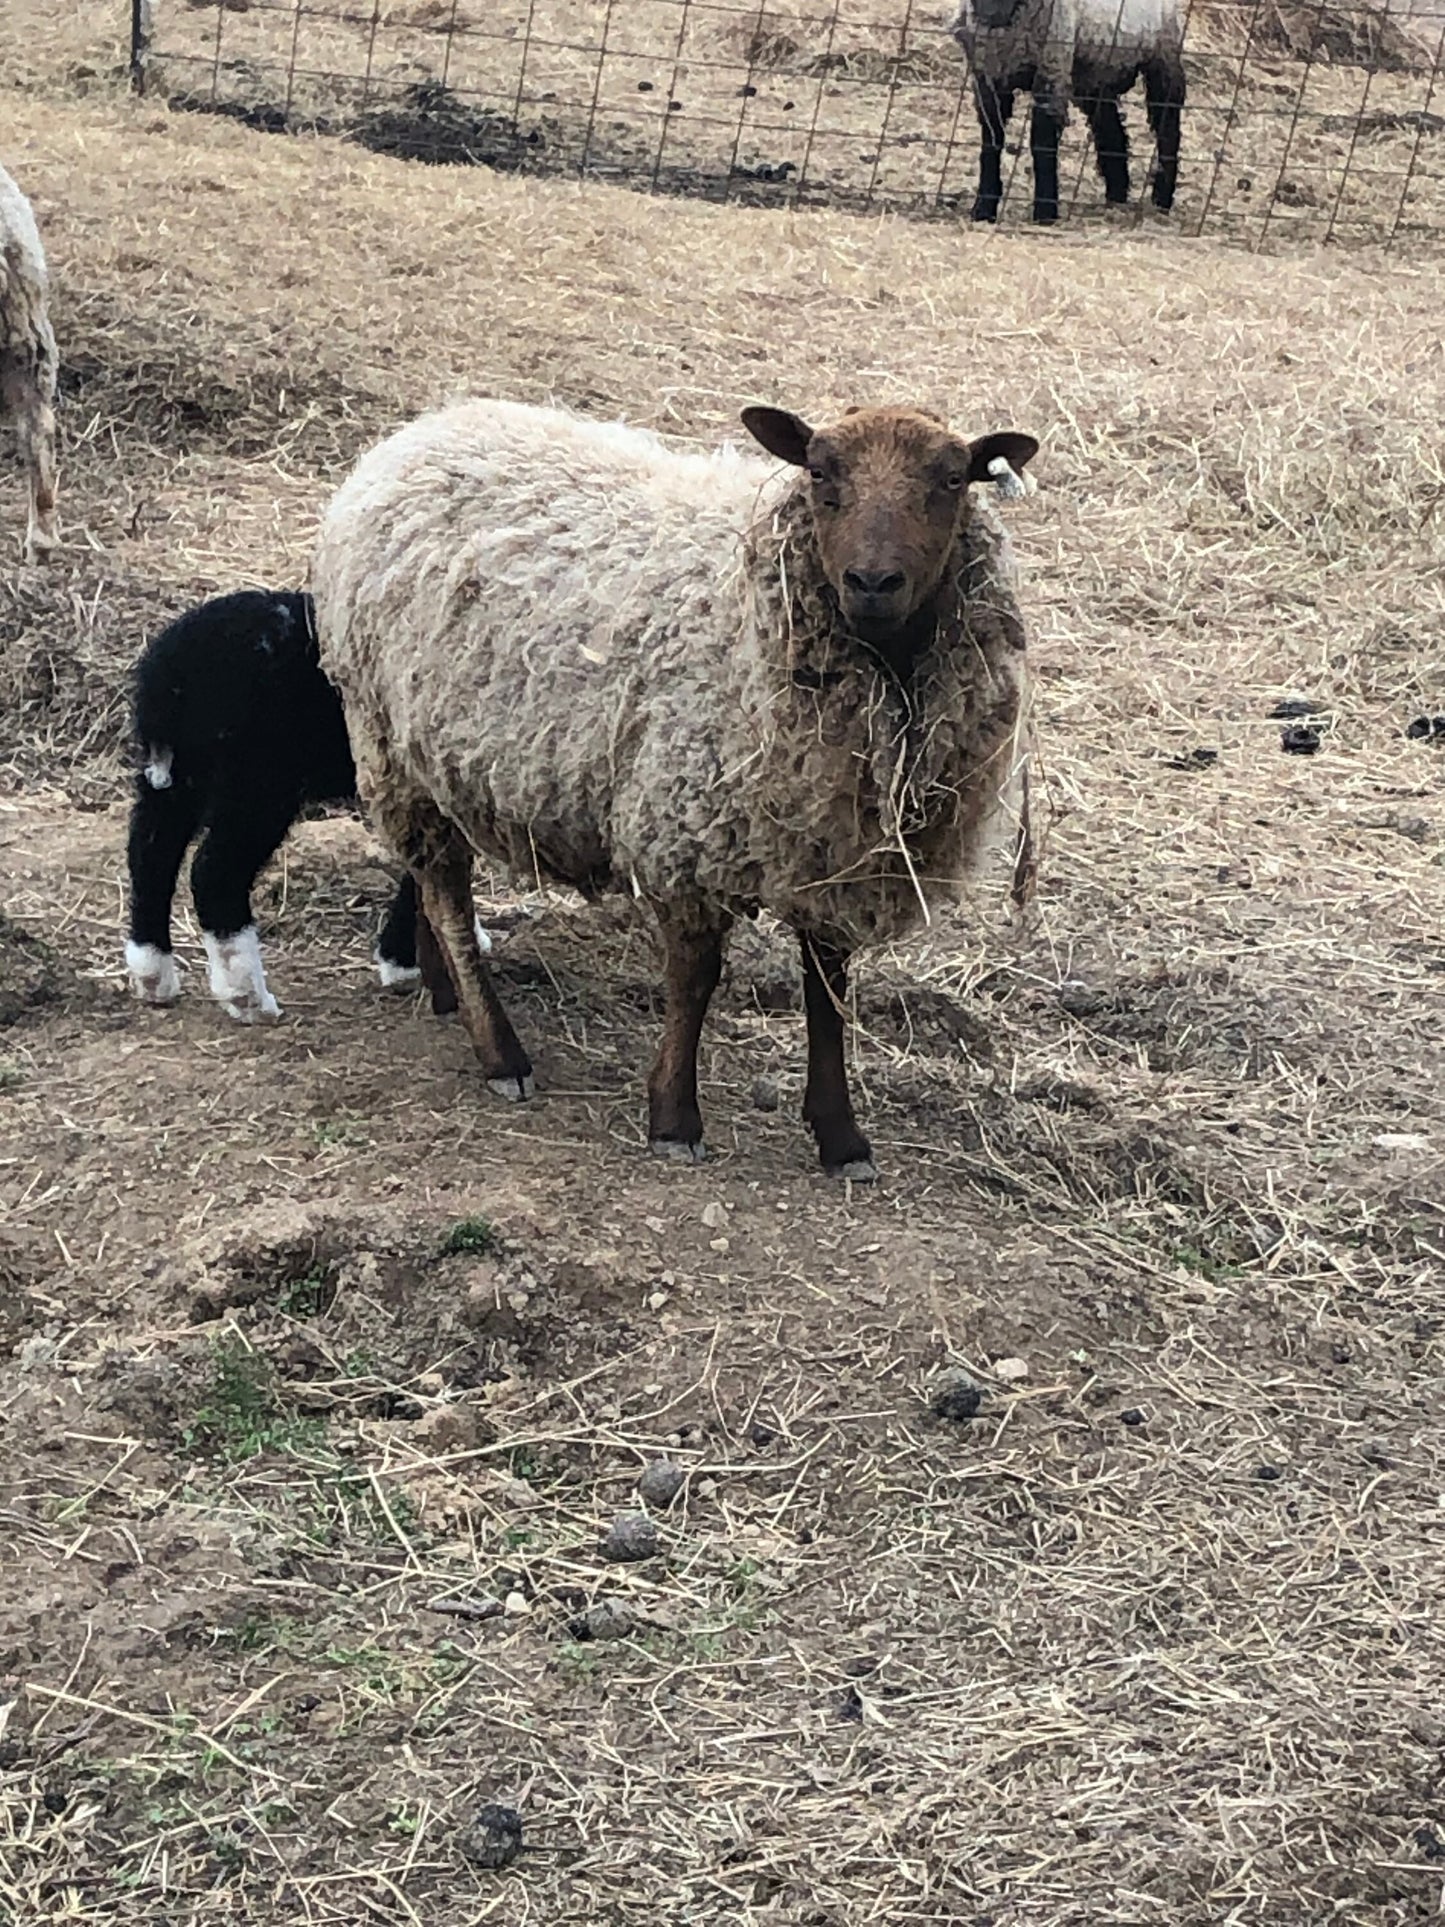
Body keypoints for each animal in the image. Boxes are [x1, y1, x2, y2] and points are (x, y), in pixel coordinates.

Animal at [315, 395, 1040, 1171]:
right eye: (819, 472)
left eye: (952, 479)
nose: (872, 585)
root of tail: (421, 431)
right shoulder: (684, 831)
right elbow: (695, 979)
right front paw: (674, 1117)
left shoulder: (831, 848)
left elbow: (827, 986)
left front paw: (840, 1134)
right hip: (386, 739)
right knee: (446, 891)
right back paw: (500, 1053)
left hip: (436, 756)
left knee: (428, 882)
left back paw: (443, 988)